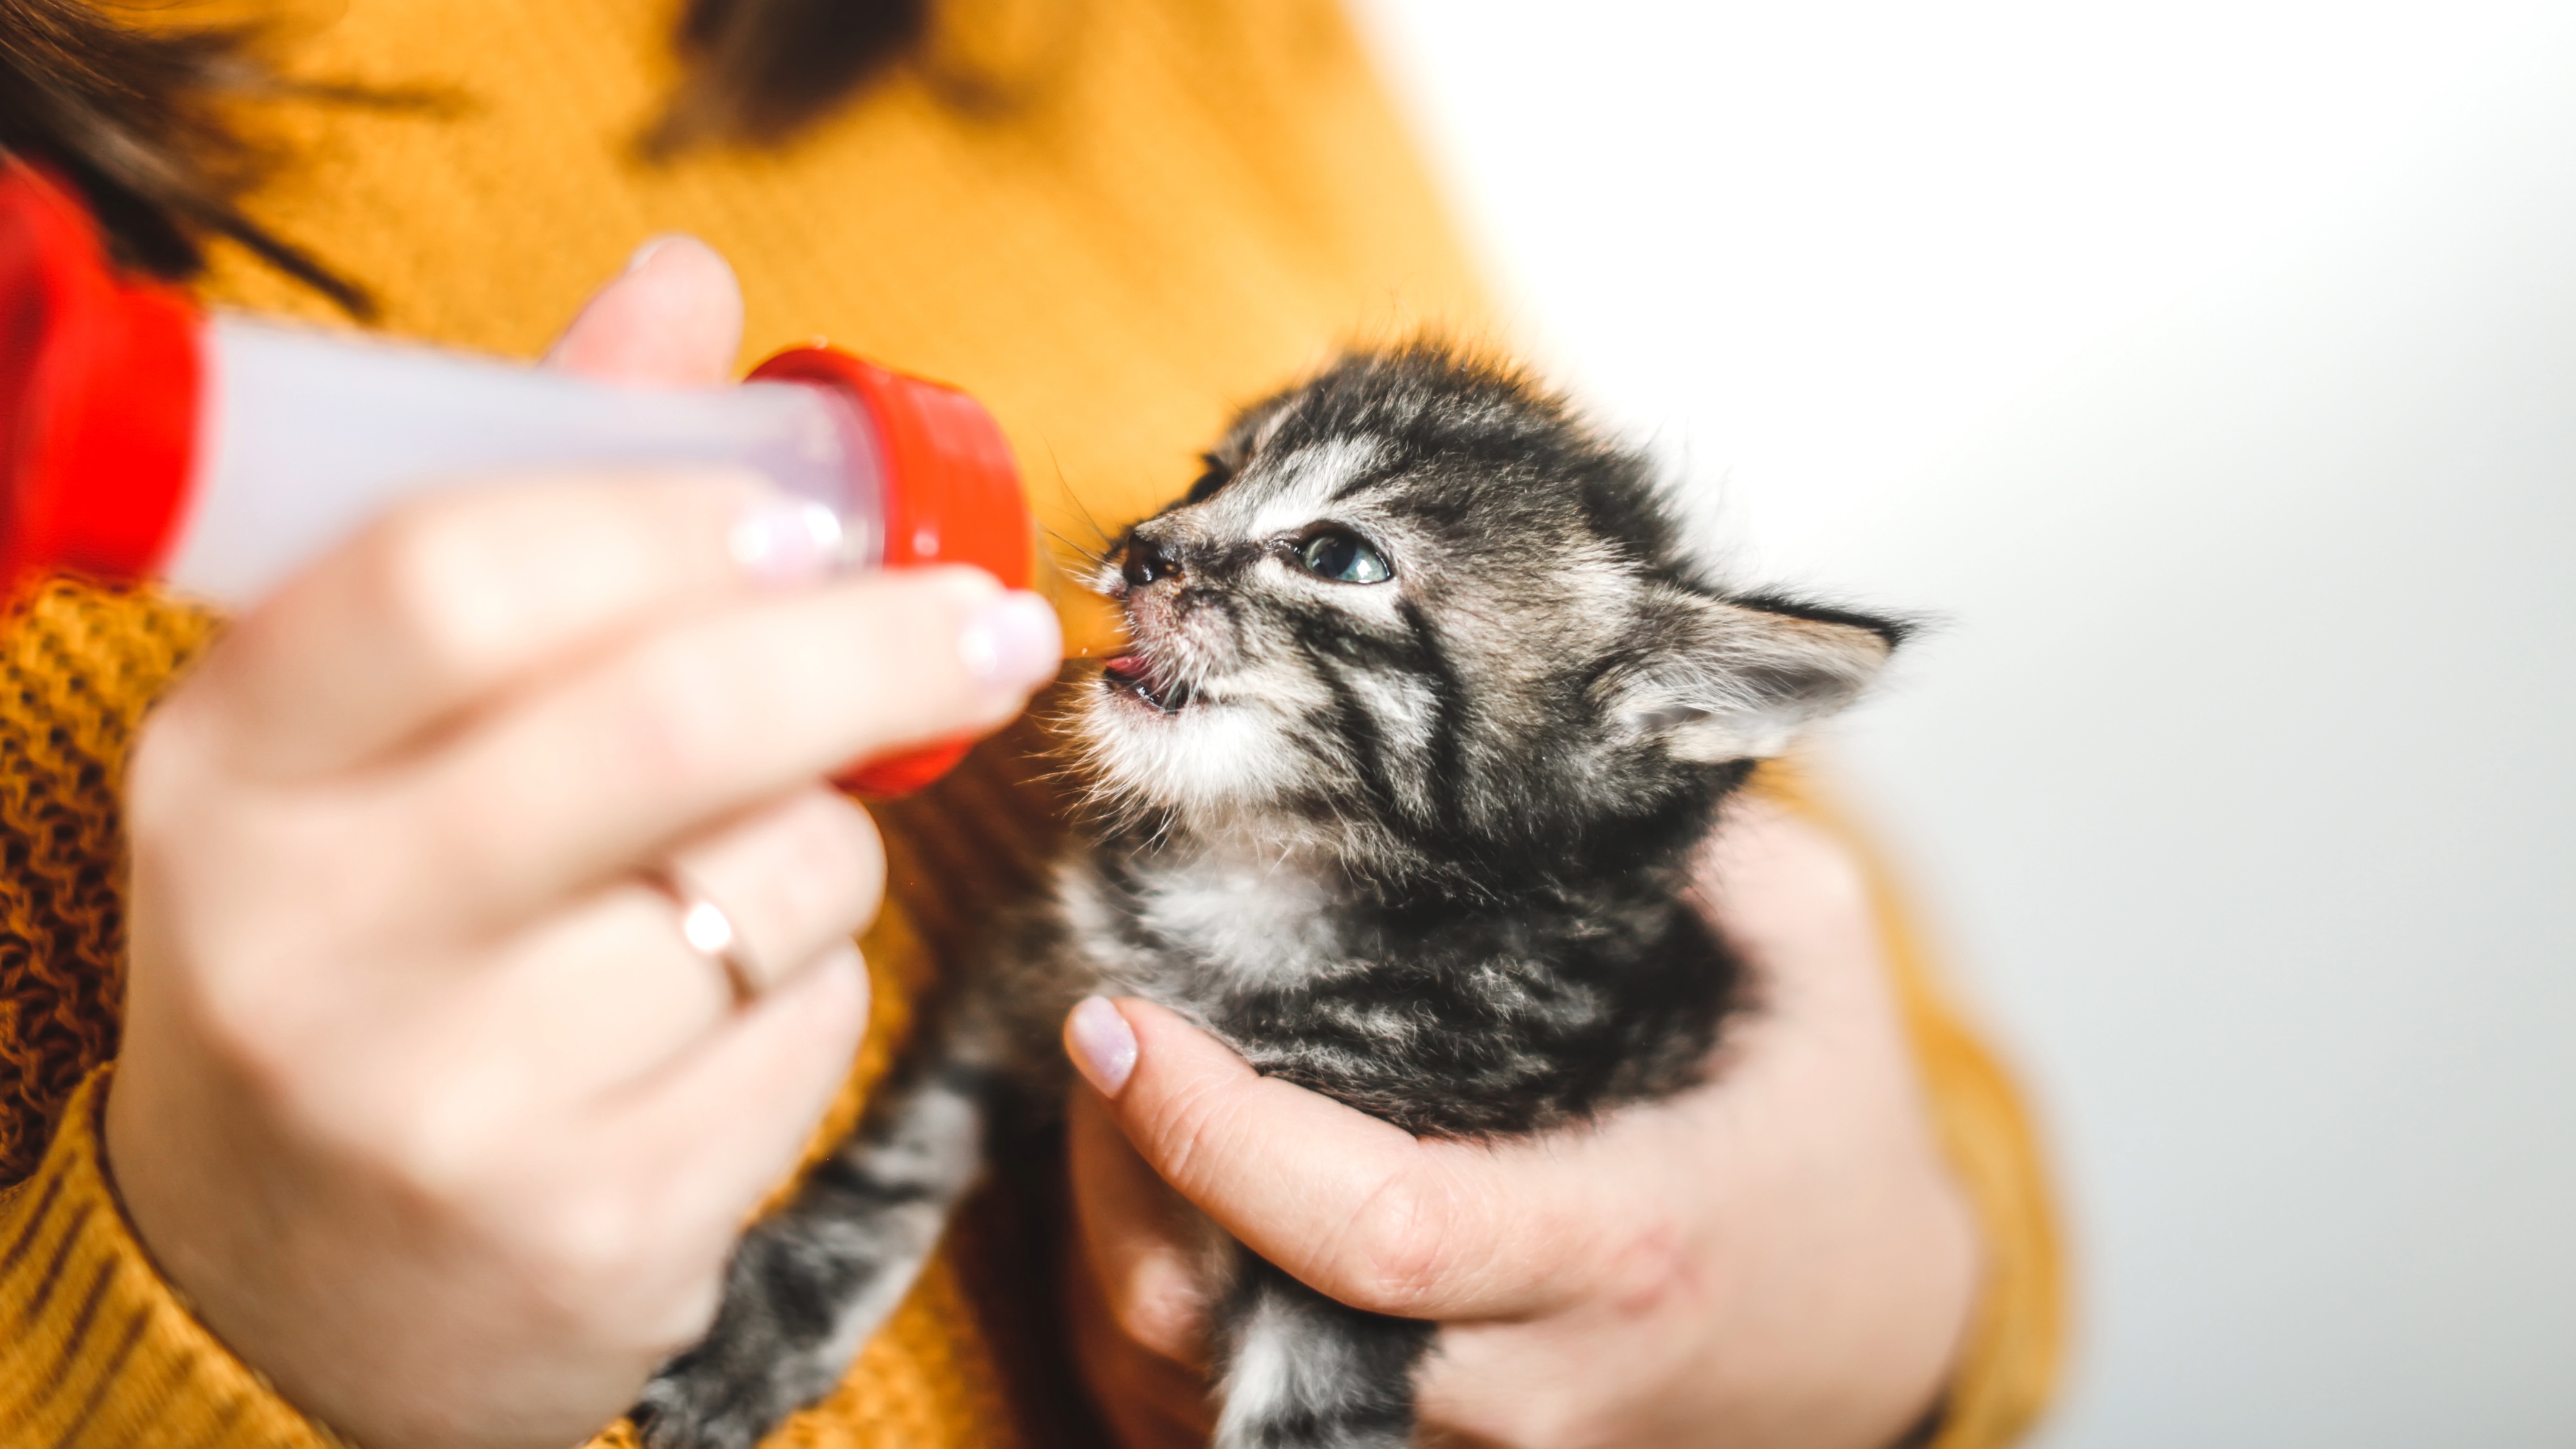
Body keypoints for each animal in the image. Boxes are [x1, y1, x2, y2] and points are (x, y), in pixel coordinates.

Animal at [633, 340, 1906, 1444]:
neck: (1265, 880)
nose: (1146, 547)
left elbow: (1302, 1415)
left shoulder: (1358, 1240)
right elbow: (900, 1159)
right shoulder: (1034, 978)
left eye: (1338, 558)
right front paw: (761, 1333)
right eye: (1211, 474)